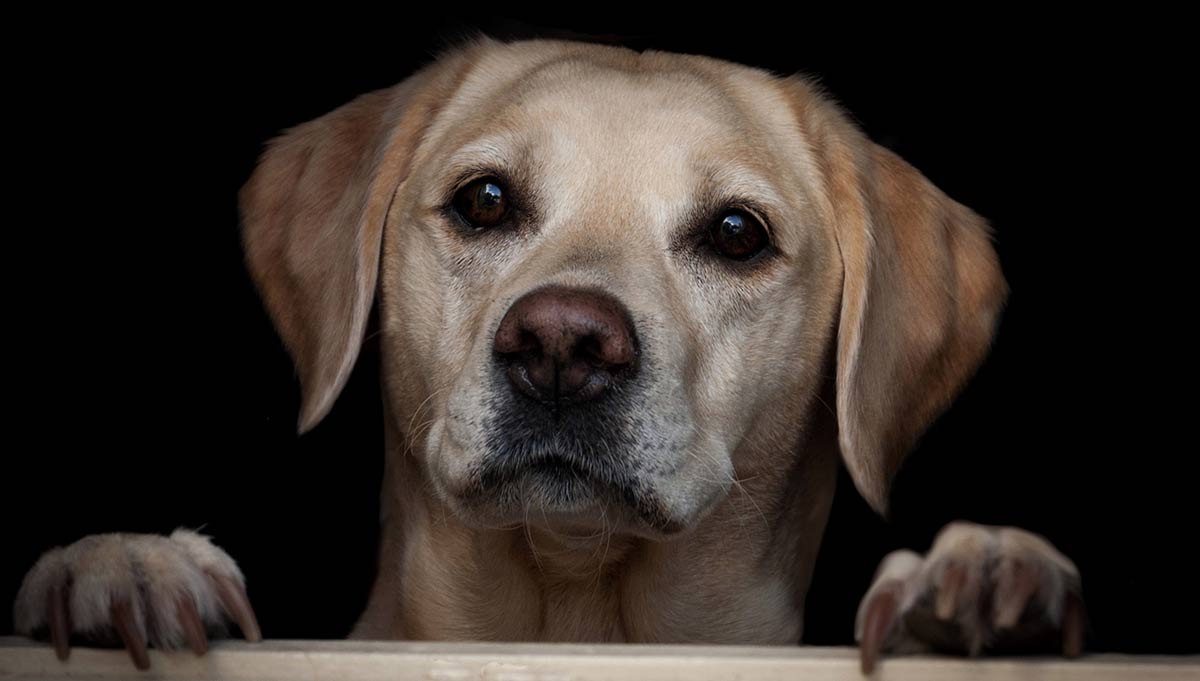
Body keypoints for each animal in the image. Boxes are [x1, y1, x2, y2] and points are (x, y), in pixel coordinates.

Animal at [9, 38, 1084, 676]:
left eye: (737, 233)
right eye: (485, 200)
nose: (563, 344)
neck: (576, 614)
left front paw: (979, 577)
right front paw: (126, 569)